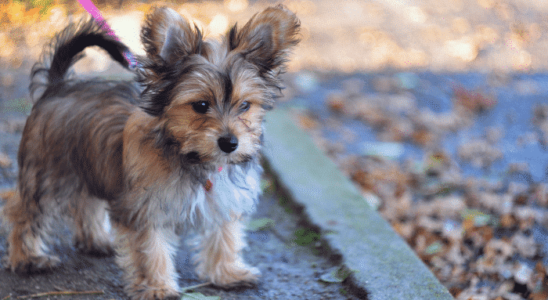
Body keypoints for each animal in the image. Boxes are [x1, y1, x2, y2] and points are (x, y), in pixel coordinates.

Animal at [2, 5, 300, 300]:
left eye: (245, 105)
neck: (192, 157)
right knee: (24, 212)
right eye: (201, 105)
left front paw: (227, 273)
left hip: (92, 164)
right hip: (48, 175)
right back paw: (28, 258)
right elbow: (151, 250)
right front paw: (157, 287)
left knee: (86, 202)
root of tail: (57, 86)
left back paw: (97, 240)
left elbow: (224, 237)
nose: (230, 143)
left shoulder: (224, 200)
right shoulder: (146, 209)